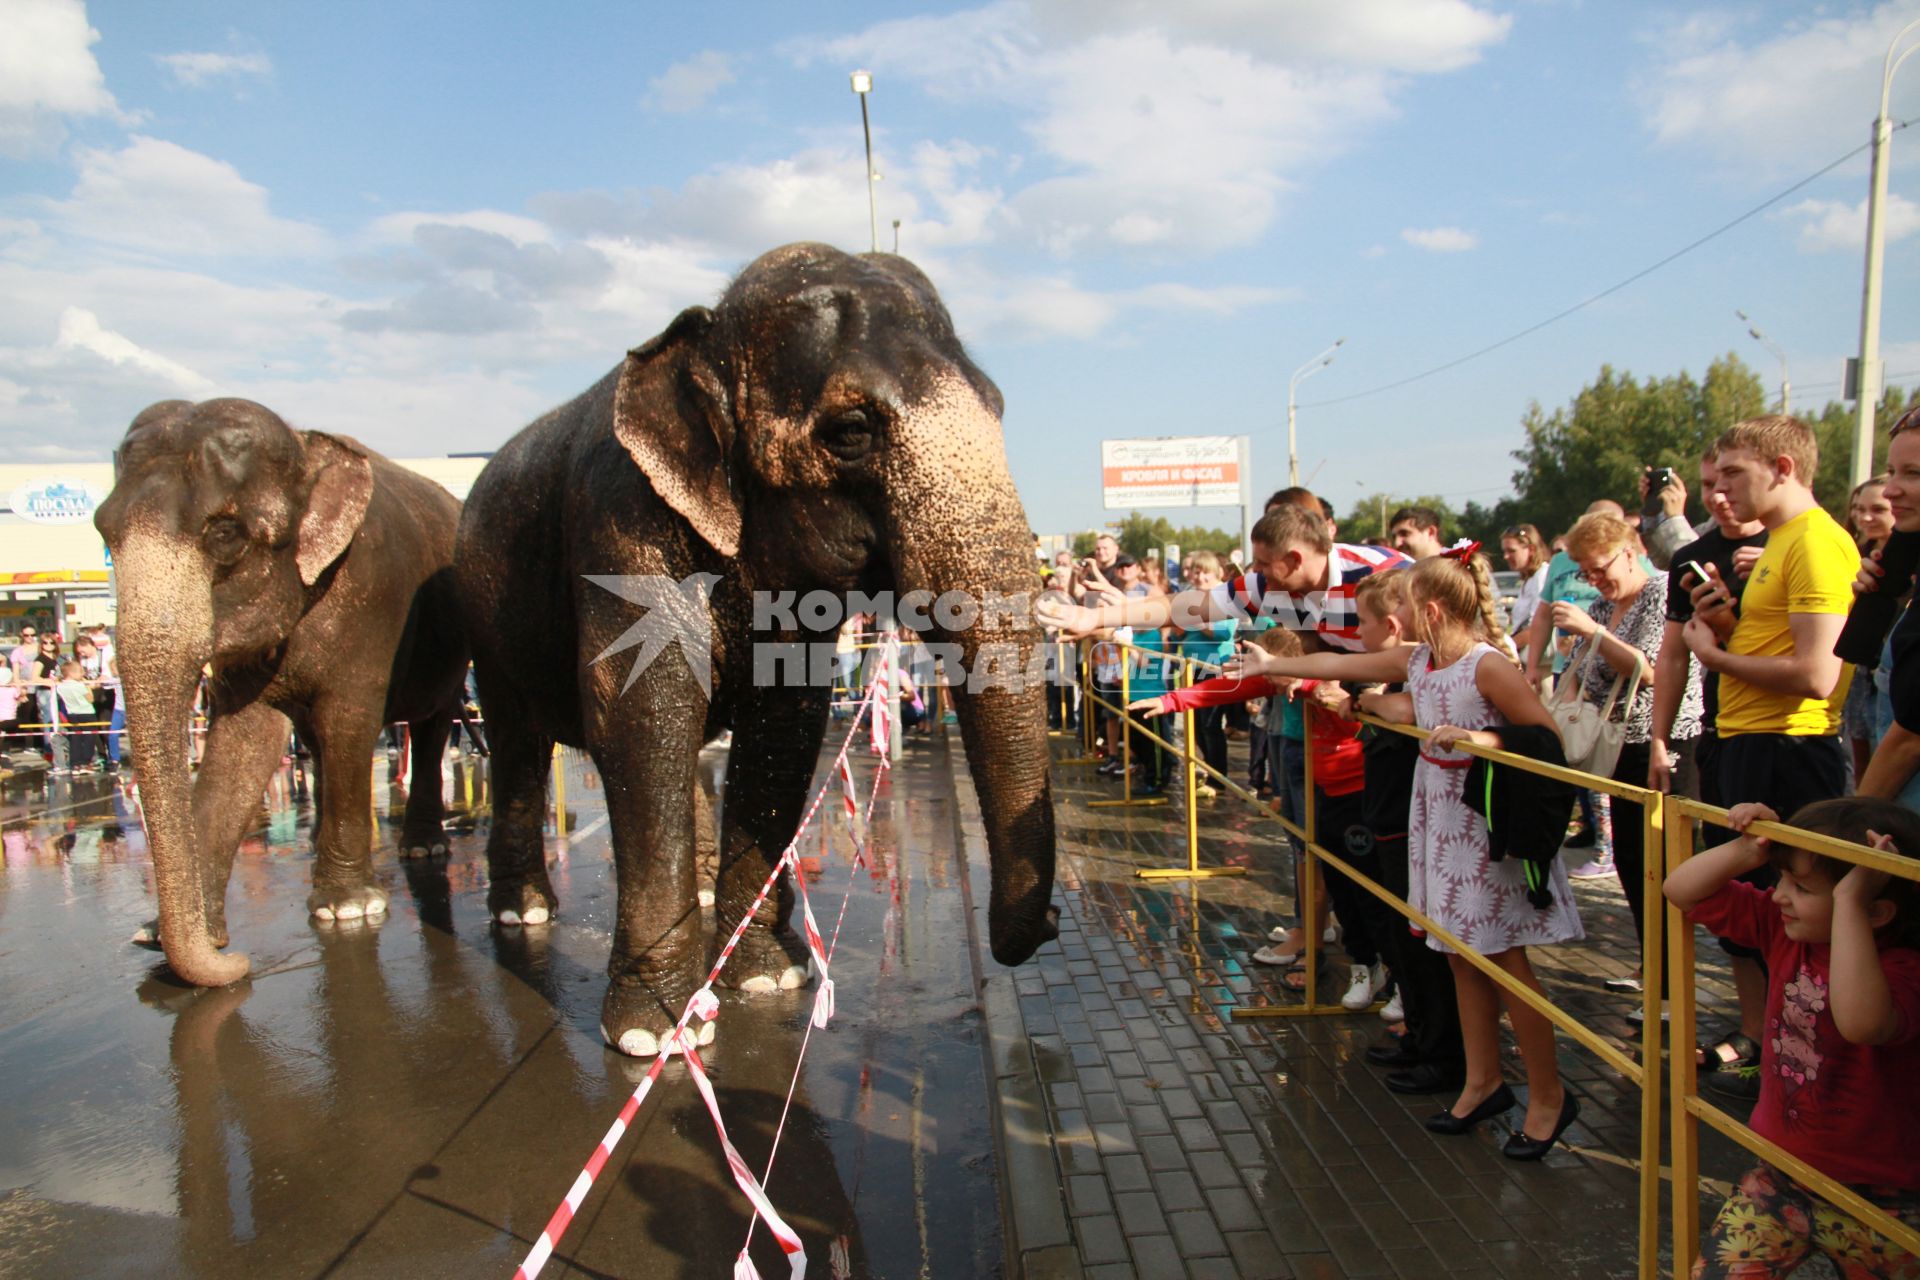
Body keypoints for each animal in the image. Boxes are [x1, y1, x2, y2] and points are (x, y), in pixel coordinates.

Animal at [95, 401, 470, 990]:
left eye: (225, 534)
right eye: (103, 531)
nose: (241, 965)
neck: (304, 447)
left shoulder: (372, 599)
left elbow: (349, 721)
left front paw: (347, 910)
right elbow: (244, 743)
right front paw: (159, 934)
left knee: (432, 724)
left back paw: (421, 847)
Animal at [455, 242, 1059, 1059]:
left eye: (997, 406)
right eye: (851, 429)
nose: (1048, 926)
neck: (704, 341)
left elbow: (784, 719)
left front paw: (771, 980)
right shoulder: (619, 519)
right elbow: (642, 712)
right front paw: (655, 1036)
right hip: (485, 617)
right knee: (518, 743)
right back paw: (523, 913)